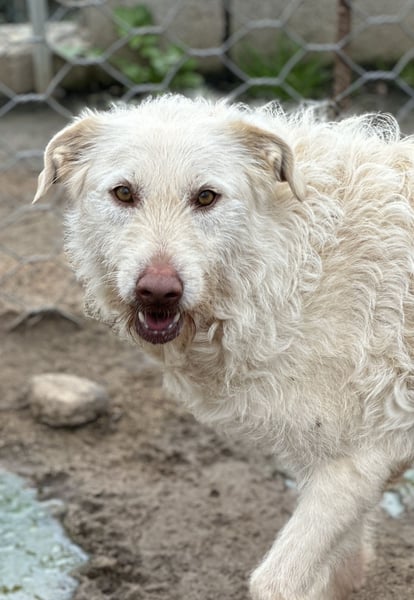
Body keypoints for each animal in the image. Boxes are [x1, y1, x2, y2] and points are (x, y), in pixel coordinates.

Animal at [34, 95, 414, 600]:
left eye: (206, 197)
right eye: (124, 193)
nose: (159, 292)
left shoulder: (366, 455)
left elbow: (274, 582)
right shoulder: (336, 464)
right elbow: (345, 567)